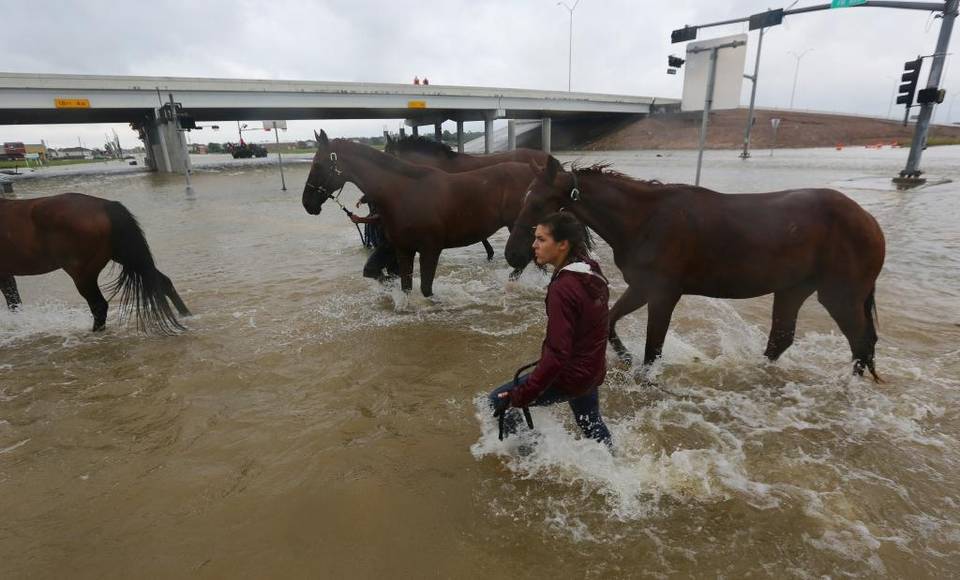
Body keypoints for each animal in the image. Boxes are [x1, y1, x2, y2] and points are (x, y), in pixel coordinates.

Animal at [0, 193, 191, 334]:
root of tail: (106, 205)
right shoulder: (6, 274)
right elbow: (14, 301)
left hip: (82, 274)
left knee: (99, 306)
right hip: (127, 257)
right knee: (162, 282)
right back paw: (186, 315)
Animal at [304, 129, 536, 296]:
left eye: (317, 165)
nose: (307, 203)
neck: (405, 192)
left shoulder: (430, 249)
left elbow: (426, 290)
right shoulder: (403, 249)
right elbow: (405, 286)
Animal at [506, 156, 888, 380]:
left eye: (538, 202)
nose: (513, 254)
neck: (644, 220)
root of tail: (869, 221)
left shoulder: (663, 294)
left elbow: (653, 349)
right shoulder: (642, 288)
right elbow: (611, 321)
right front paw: (624, 357)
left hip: (839, 296)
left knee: (861, 341)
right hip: (792, 289)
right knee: (782, 339)